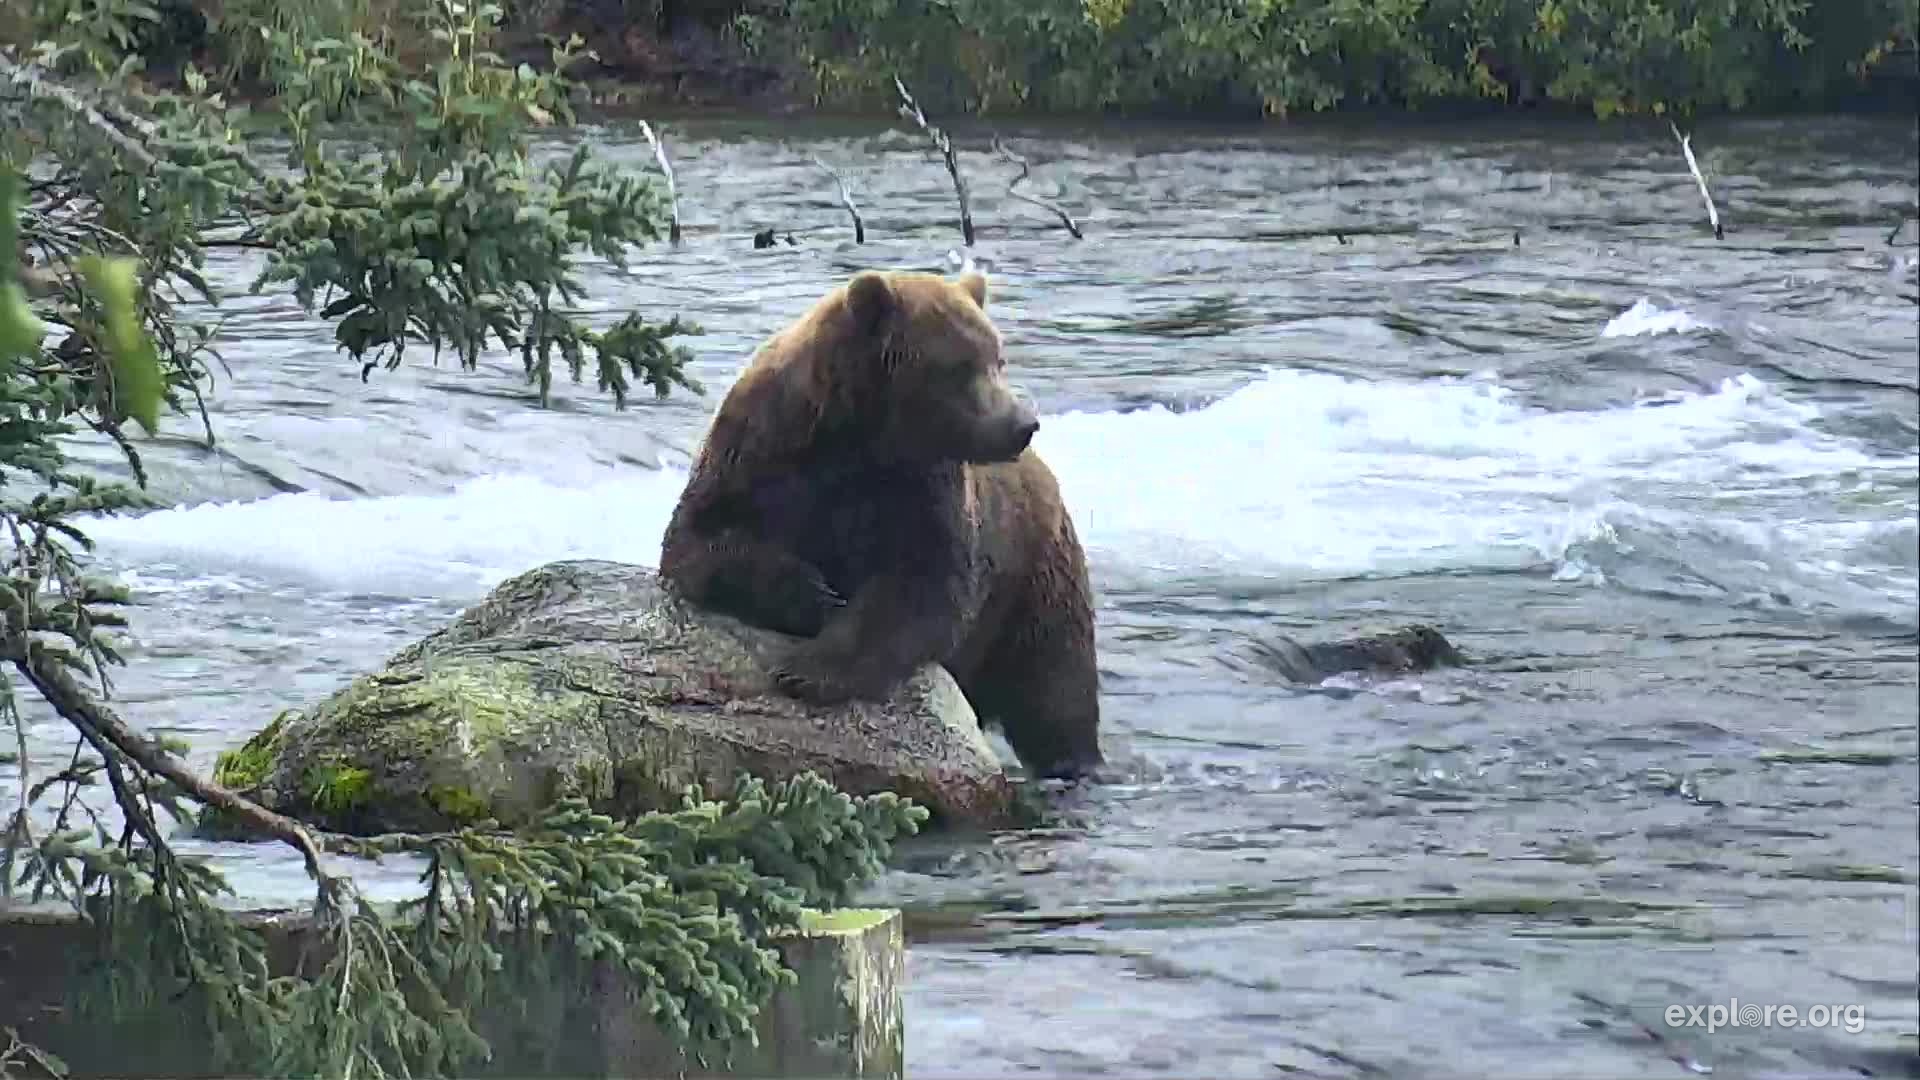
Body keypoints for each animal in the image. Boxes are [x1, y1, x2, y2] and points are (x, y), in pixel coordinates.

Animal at [660, 265, 1113, 776]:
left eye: (998, 358)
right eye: (960, 367)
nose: (1021, 424)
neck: (859, 437)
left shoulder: (921, 491)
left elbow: (922, 585)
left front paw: (809, 669)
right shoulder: (758, 450)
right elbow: (699, 539)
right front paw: (810, 593)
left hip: (1031, 580)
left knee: (1053, 686)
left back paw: (1075, 762)